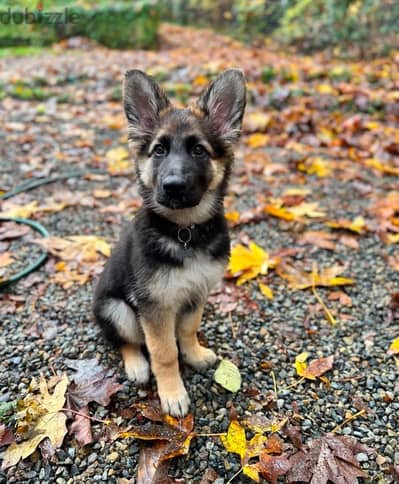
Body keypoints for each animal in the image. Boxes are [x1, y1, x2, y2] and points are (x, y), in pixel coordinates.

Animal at [94, 68, 247, 416]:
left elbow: (188, 331)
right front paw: (172, 393)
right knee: (127, 341)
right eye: (159, 150)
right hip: (117, 309)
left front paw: (194, 354)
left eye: (199, 150)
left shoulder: (196, 294)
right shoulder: (155, 308)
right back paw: (137, 365)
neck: (185, 232)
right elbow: (164, 353)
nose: (173, 186)